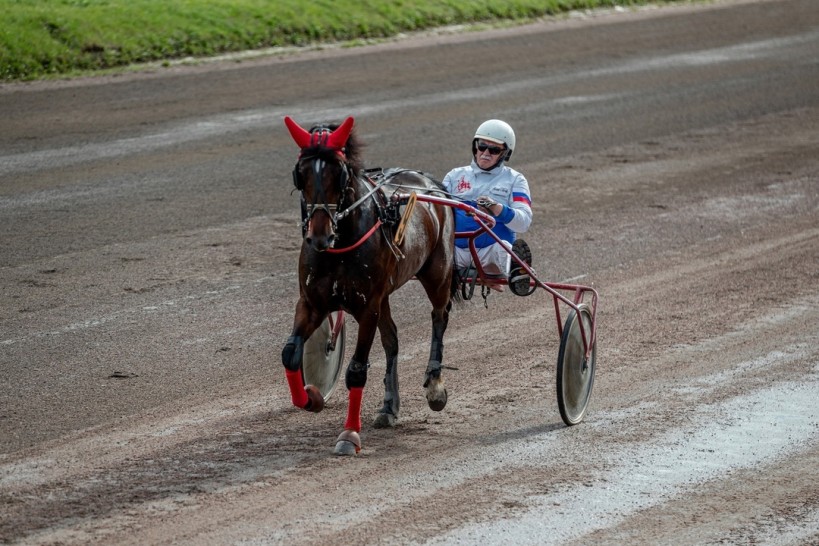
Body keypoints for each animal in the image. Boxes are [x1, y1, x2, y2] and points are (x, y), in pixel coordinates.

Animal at [280, 115, 458, 455]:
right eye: (301, 173)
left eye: (339, 173)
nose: (319, 236)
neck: (339, 247)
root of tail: (430, 184)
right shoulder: (311, 303)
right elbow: (290, 354)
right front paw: (313, 397)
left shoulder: (367, 308)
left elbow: (356, 370)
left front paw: (349, 435)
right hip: (386, 296)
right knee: (392, 340)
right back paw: (389, 406)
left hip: (437, 273)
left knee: (439, 317)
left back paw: (435, 385)